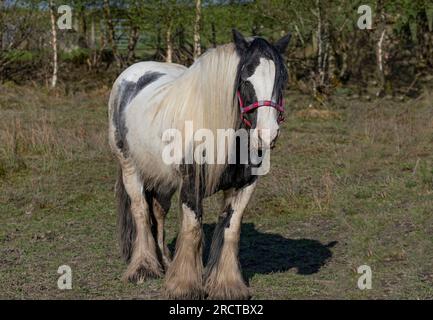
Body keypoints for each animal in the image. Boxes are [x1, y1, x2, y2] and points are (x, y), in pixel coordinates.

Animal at [107, 30, 290, 300]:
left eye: (281, 80)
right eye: (245, 79)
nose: (266, 135)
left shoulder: (244, 186)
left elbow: (231, 230)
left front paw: (227, 286)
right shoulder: (192, 184)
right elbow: (192, 228)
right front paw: (184, 286)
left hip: (164, 179)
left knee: (157, 212)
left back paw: (165, 262)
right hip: (131, 169)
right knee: (140, 210)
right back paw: (144, 268)